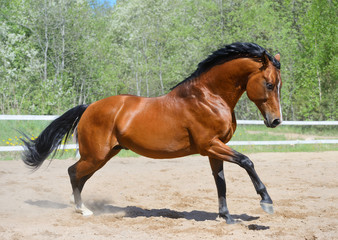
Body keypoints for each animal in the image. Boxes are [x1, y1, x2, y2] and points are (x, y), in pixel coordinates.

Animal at [21, 42, 282, 224]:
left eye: (279, 84)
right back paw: (82, 209)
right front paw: (266, 202)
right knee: (73, 172)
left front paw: (226, 217)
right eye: (269, 84)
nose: (276, 120)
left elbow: (221, 183)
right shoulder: (210, 145)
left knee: (80, 176)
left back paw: (79, 206)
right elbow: (247, 161)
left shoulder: (214, 150)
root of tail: (89, 107)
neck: (209, 97)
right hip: (95, 155)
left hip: (103, 156)